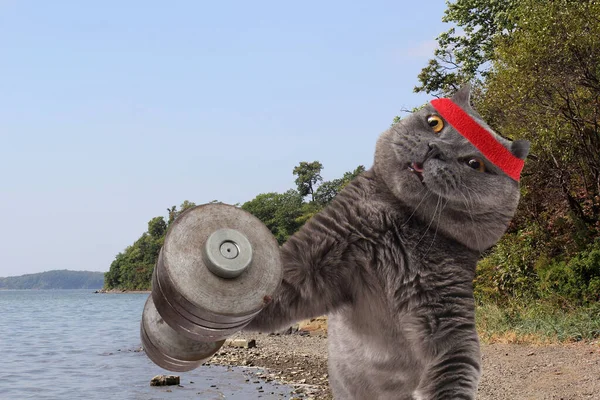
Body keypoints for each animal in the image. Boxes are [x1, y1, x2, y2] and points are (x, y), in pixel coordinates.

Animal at [244, 86, 528, 398]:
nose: (436, 149)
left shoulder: (447, 309)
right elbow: (282, 281)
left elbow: (454, 363)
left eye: (474, 163)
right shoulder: (322, 248)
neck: (398, 225)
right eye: (434, 123)